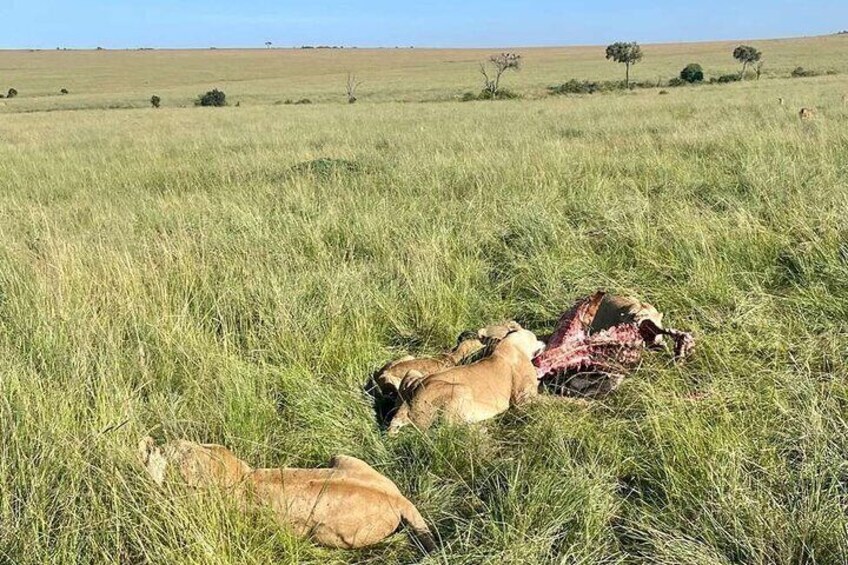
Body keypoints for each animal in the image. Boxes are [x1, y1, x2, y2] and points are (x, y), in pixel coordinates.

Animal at [137, 437, 436, 551]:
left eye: (181, 454)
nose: (166, 443)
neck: (240, 477)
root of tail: (399, 499)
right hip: (342, 457)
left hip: (329, 533)